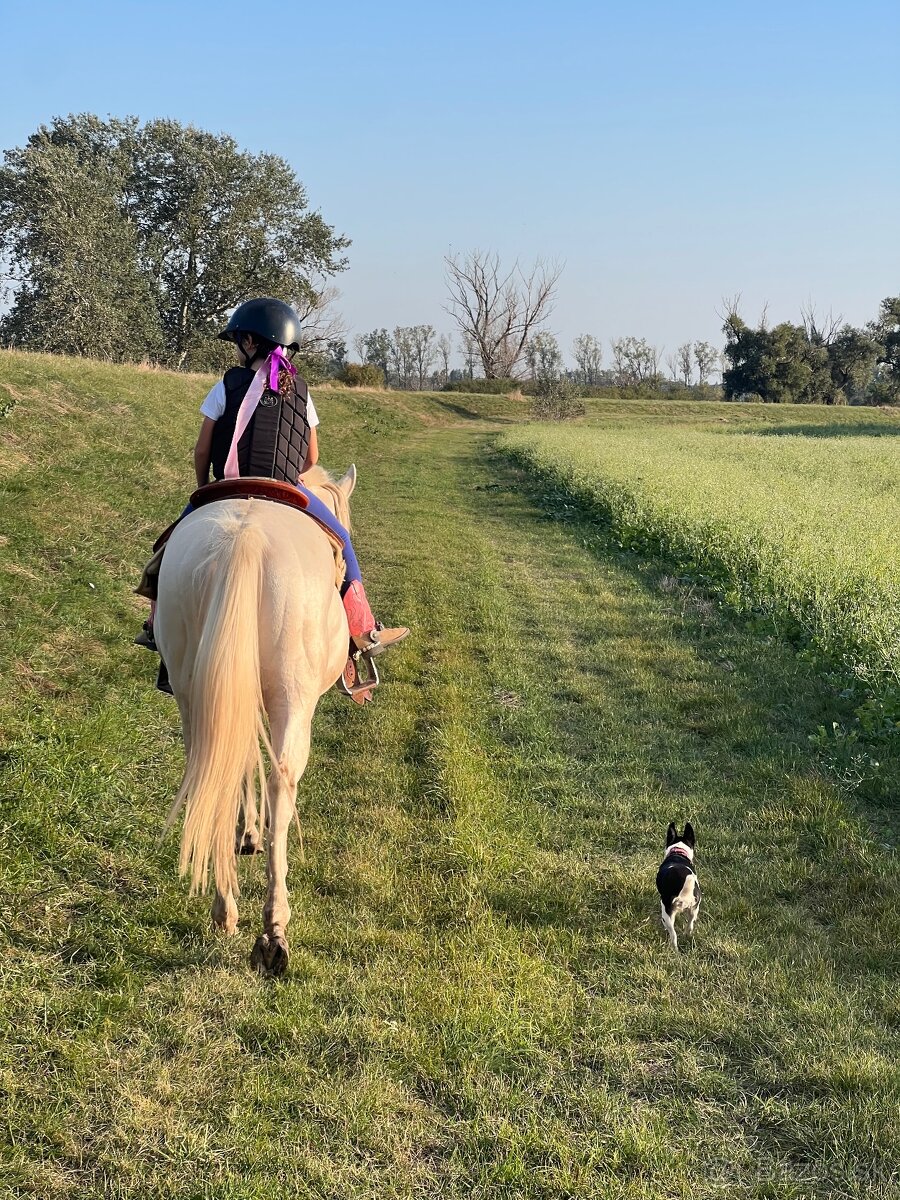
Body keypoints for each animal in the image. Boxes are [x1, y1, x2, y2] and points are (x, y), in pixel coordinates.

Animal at [154, 460, 355, 974]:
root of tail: (243, 540)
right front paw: (251, 836)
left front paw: (245, 836)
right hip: (292, 697)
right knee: (282, 782)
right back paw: (273, 931)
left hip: (195, 688)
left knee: (209, 774)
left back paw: (225, 907)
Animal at [657, 820, 700, 950]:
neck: (678, 853)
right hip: (694, 909)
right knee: (690, 925)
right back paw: (687, 936)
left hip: (667, 912)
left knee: (673, 934)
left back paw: (674, 949)